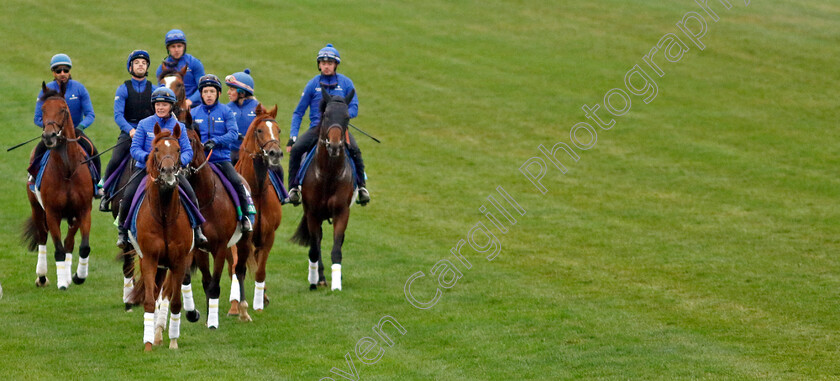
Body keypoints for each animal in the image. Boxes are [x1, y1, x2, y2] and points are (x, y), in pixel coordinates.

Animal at [22, 81, 94, 290]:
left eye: (63, 109)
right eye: (43, 110)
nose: (49, 136)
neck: (67, 170)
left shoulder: (83, 210)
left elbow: (82, 247)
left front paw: (78, 276)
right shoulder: (52, 212)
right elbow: (58, 248)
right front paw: (62, 283)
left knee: (69, 242)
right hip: (37, 208)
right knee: (42, 237)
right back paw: (42, 276)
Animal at [130, 122, 194, 350]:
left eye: (178, 149)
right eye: (156, 149)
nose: (167, 172)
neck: (164, 215)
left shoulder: (179, 260)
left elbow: (175, 302)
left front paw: (173, 342)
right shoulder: (149, 259)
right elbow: (150, 300)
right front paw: (148, 344)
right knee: (156, 292)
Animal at [183, 127, 251, 326]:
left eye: (190, 140)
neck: (206, 198)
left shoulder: (219, 247)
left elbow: (214, 285)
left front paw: (212, 322)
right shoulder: (200, 249)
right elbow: (207, 283)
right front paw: (207, 318)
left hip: (244, 241)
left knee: (240, 270)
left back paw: (243, 311)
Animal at [290, 90, 356, 290]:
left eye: (347, 117)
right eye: (326, 115)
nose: (334, 145)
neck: (328, 175)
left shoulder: (342, 212)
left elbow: (337, 248)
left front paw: (337, 282)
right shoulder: (312, 213)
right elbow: (314, 248)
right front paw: (316, 279)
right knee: (316, 242)